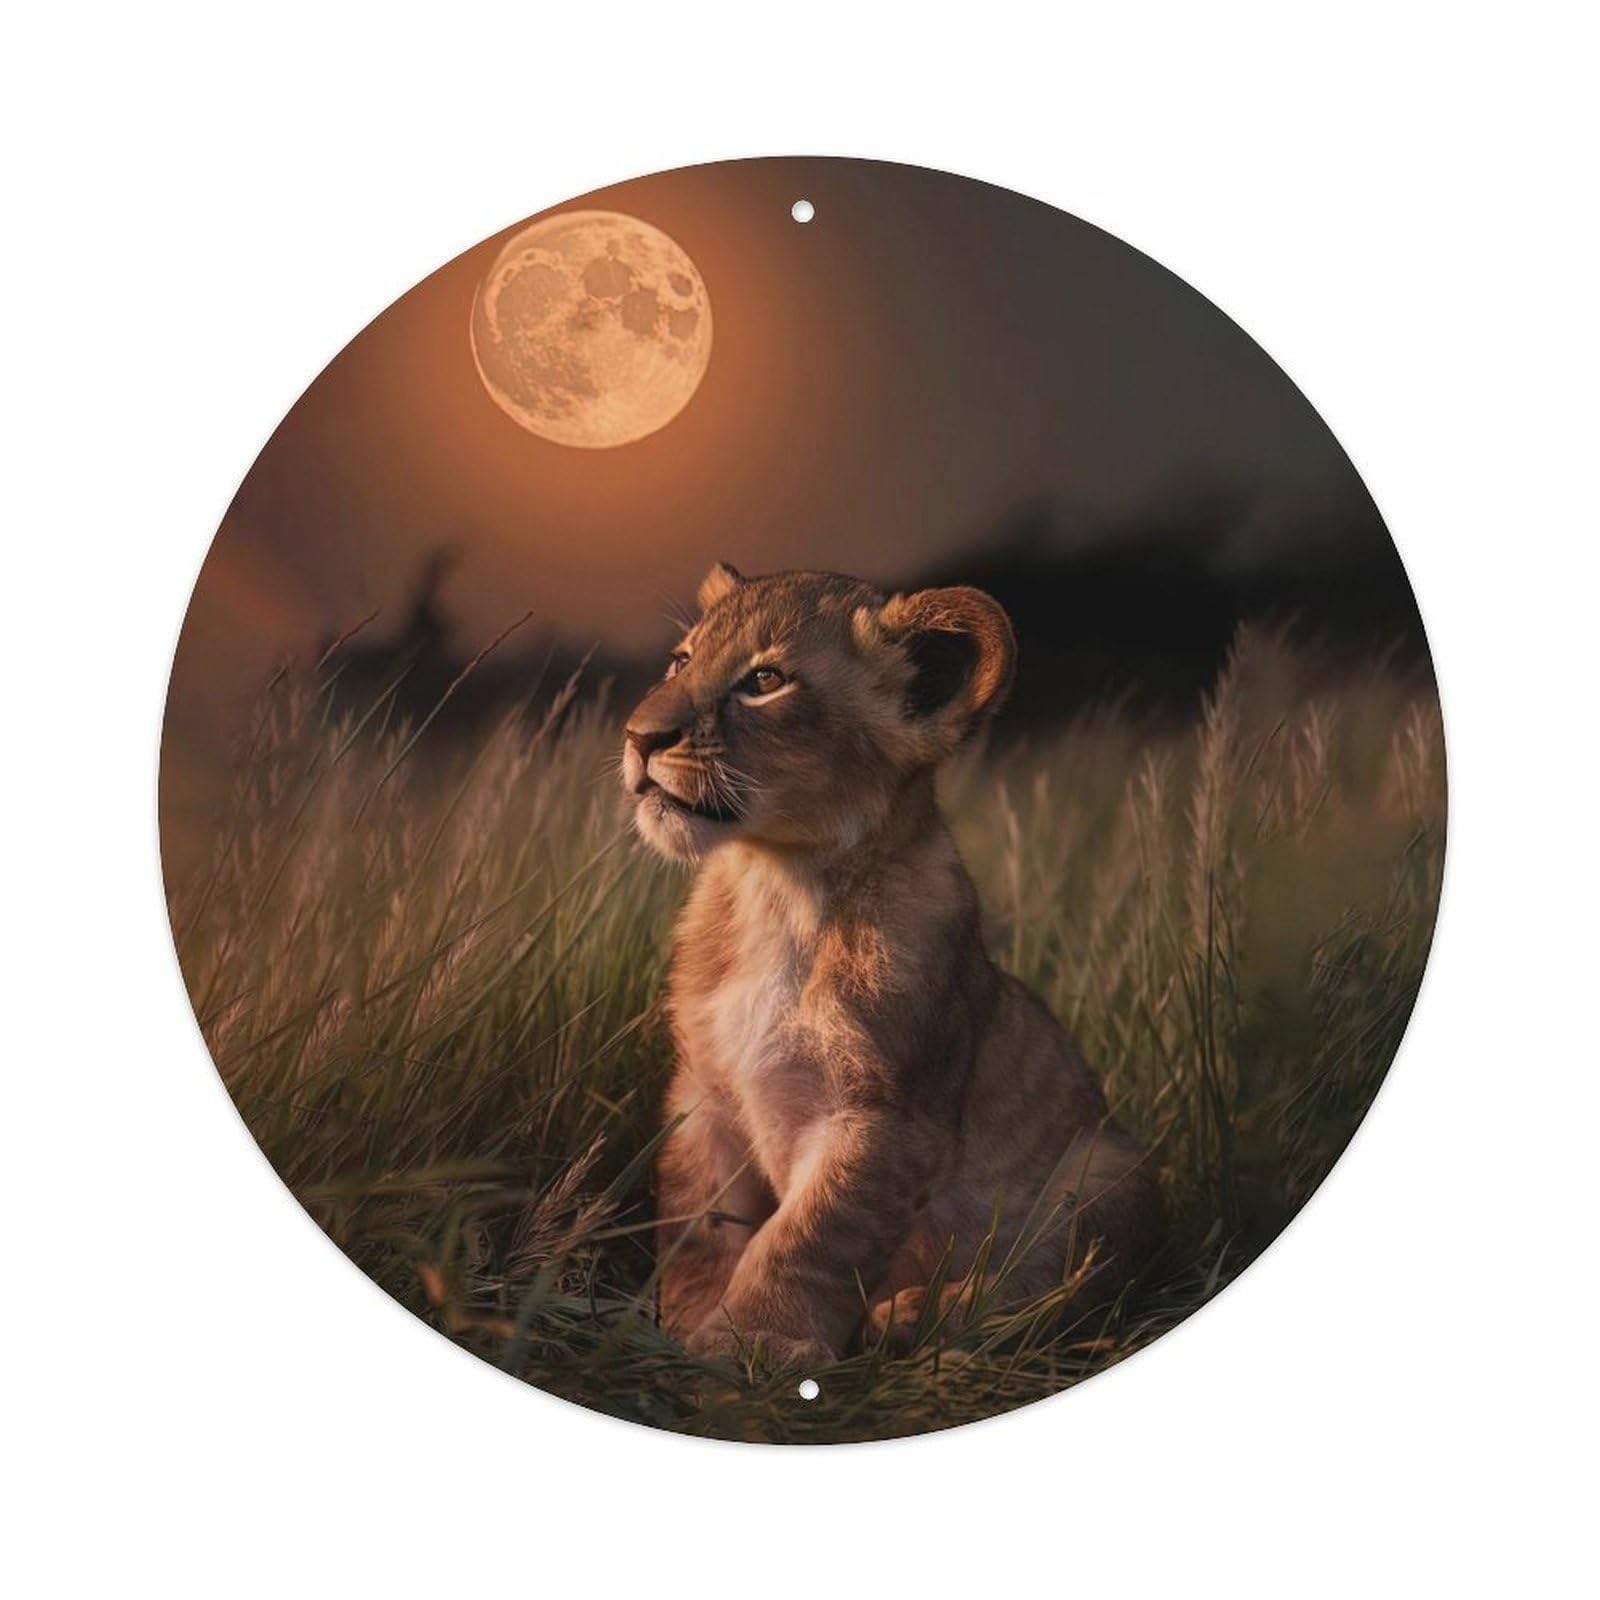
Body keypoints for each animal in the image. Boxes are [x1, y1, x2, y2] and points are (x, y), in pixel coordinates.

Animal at [621, 562, 1161, 1371]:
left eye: (765, 680)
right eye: (681, 662)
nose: (639, 736)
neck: (777, 886)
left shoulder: (885, 1118)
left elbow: (805, 1238)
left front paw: (757, 1343)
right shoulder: (703, 1091)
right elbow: (697, 1223)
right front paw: (679, 1329)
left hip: (1107, 1173)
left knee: (1056, 1292)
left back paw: (911, 1318)